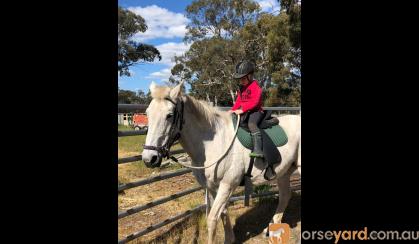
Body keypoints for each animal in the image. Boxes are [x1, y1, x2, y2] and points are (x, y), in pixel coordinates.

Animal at [143, 81, 300, 242]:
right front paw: (230, 238)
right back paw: (272, 229)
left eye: (169, 115)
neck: (213, 142)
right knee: (285, 196)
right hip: (284, 172)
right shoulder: (212, 186)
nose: (149, 158)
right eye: (148, 113)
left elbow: (212, 219)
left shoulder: (228, 184)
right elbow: (223, 212)